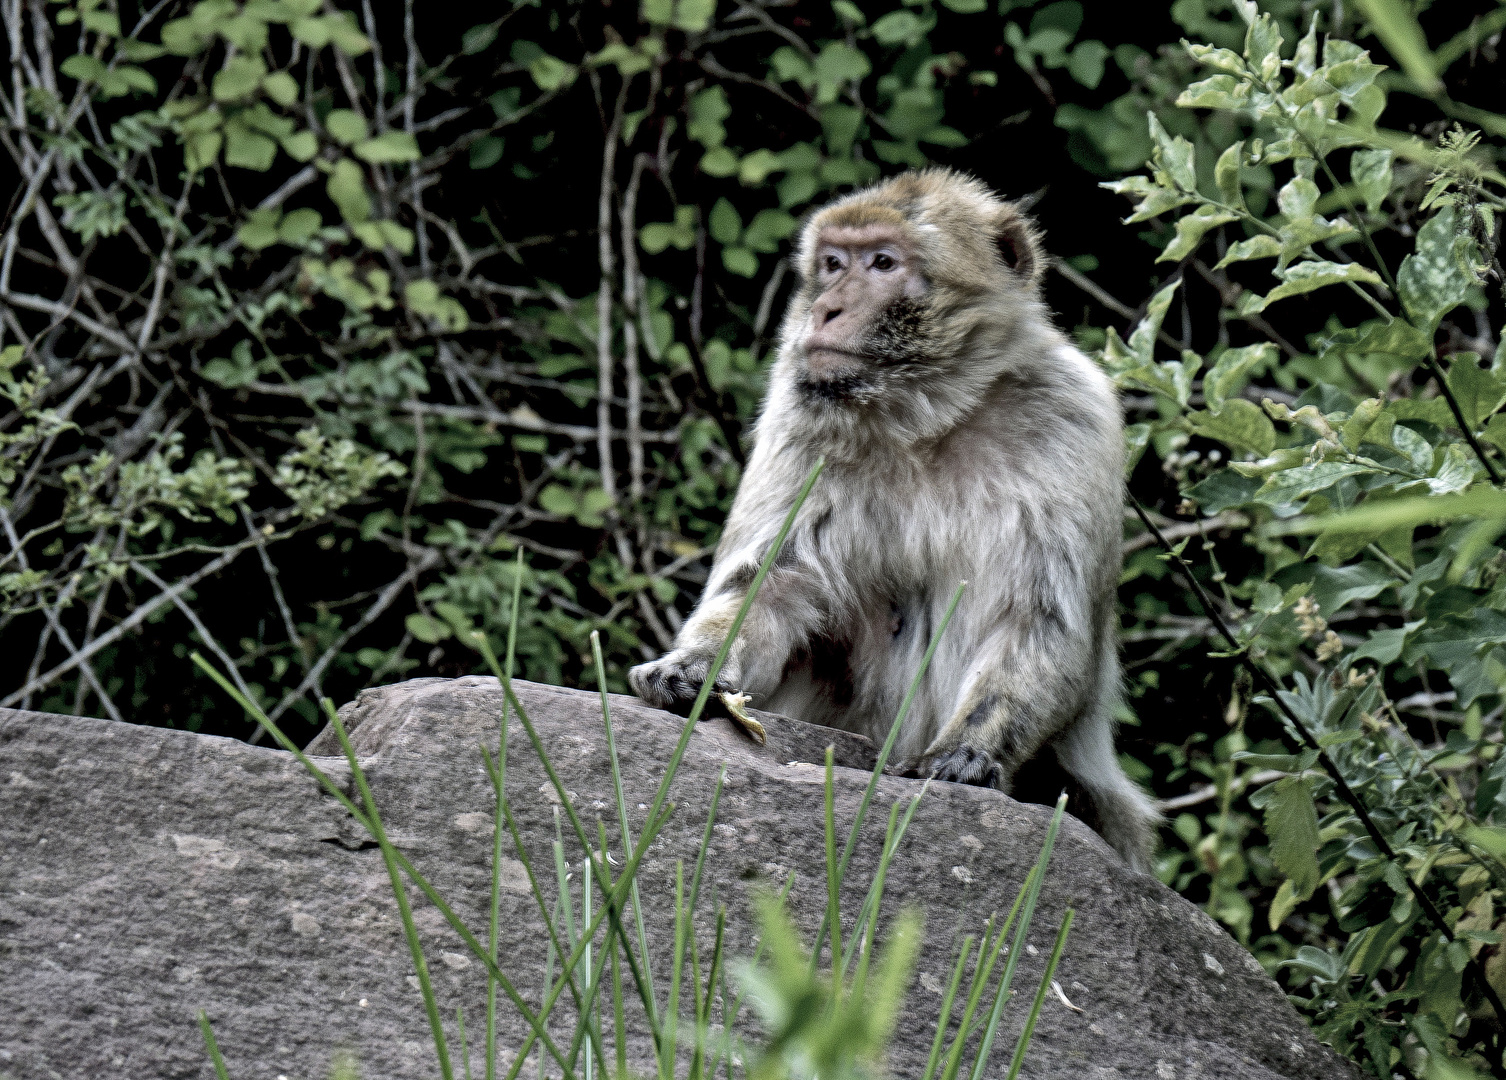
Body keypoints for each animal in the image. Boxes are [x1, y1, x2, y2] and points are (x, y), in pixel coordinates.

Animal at [629, 170, 1156, 873]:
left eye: (883, 263)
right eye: (832, 264)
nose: (826, 309)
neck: (927, 415)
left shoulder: (1073, 417)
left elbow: (1040, 619)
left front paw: (968, 751)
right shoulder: (799, 420)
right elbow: (771, 585)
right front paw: (692, 667)